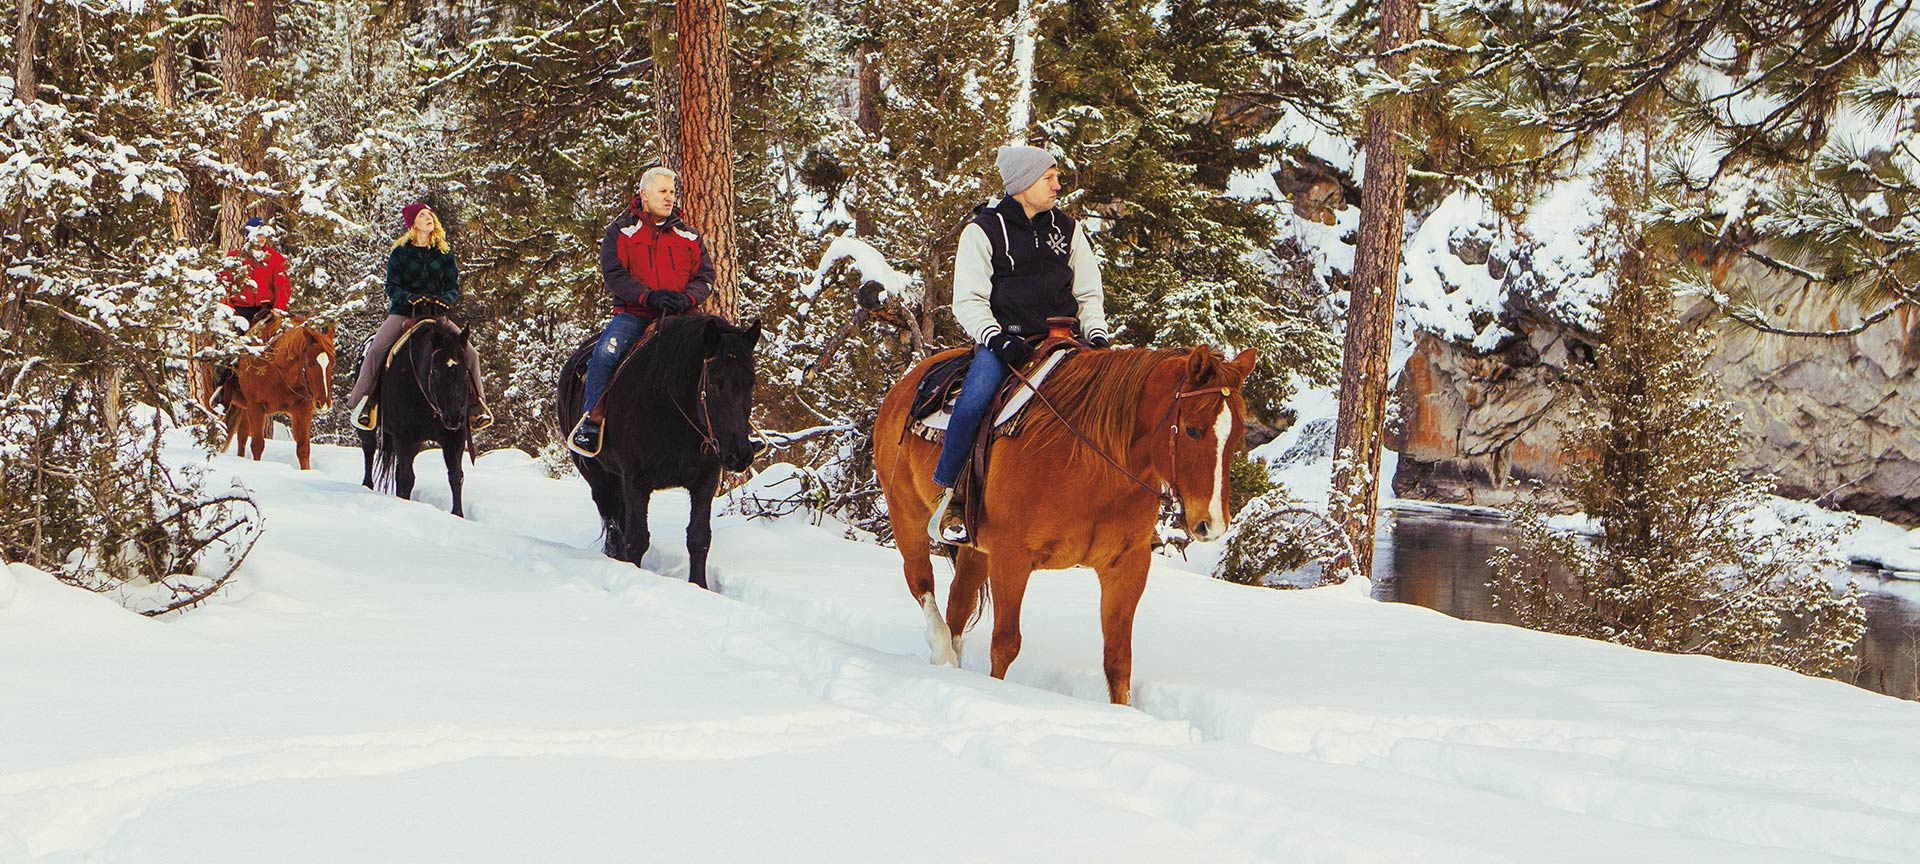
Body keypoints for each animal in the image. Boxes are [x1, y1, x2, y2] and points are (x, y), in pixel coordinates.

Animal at [226, 316, 339, 468]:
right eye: (310, 363)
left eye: (332, 362)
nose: (324, 403)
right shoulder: (256, 407)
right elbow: (257, 445)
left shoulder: (303, 409)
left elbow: (303, 449)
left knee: (242, 436)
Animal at [360, 318, 478, 514]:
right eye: (435, 371)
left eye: (465, 370)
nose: (453, 417)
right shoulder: (404, 437)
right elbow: (408, 478)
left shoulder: (455, 437)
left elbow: (456, 476)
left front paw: (458, 514)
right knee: (368, 451)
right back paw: (366, 486)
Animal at [556, 312, 756, 591]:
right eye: (715, 384)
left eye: (751, 383)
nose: (740, 454)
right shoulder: (635, 480)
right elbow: (637, 538)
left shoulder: (705, 478)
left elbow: (699, 537)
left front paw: (699, 586)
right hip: (598, 475)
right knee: (613, 523)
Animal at [875, 341, 1259, 706]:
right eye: (1192, 430)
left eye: (1238, 434)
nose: (1212, 523)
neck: (1091, 462)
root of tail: (907, 383)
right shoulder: (1011, 557)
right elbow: (1005, 643)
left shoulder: (1127, 564)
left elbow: (1118, 659)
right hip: (907, 514)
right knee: (920, 580)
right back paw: (941, 651)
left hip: (975, 550)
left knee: (959, 601)